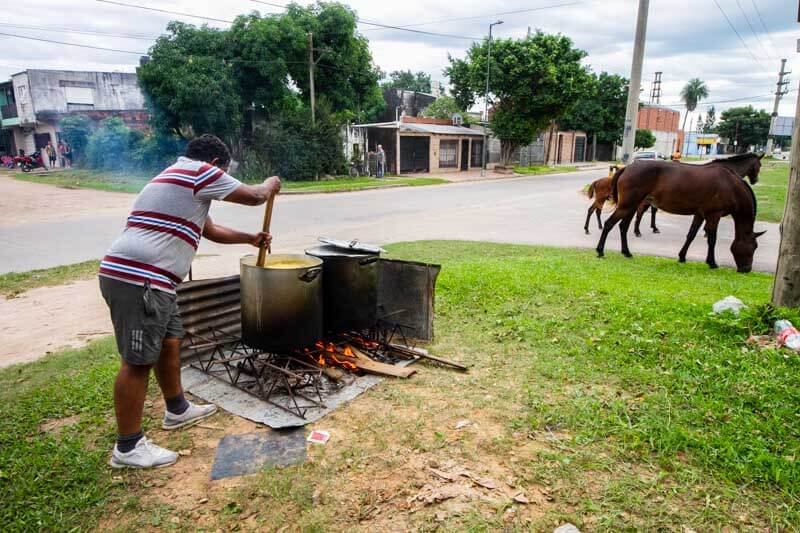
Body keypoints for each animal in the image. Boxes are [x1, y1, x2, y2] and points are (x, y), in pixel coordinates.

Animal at [596, 160, 764, 272]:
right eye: (754, 247)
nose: (746, 269)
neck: (730, 185)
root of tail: (626, 168)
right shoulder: (713, 215)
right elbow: (712, 239)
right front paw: (712, 262)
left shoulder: (700, 214)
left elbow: (691, 235)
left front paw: (682, 257)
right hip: (627, 205)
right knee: (609, 224)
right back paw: (600, 251)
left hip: (631, 206)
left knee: (623, 226)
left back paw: (627, 252)